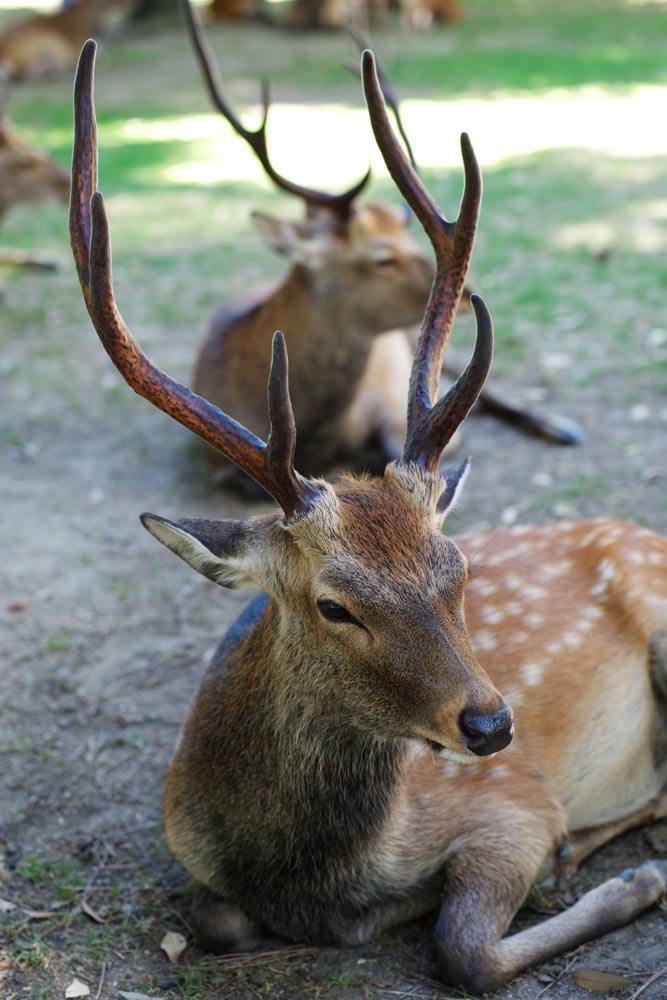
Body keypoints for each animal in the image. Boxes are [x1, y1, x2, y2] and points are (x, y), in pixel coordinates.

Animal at [180, 0, 580, 494]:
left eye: (409, 239)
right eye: (381, 258)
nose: (468, 293)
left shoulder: (386, 401)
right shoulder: (217, 464)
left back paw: (561, 426)